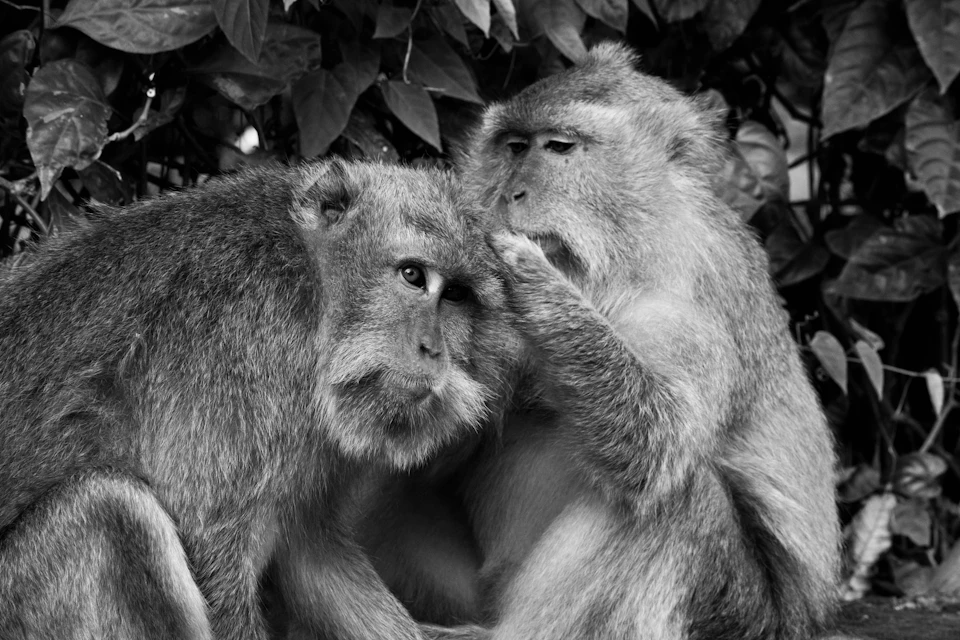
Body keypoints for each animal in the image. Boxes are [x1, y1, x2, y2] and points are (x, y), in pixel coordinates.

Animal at [0, 159, 516, 640]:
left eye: (456, 295)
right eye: (413, 275)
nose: (433, 349)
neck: (313, 288)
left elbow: (314, 560)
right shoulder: (245, 350)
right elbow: (211, 548)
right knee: (109, 510)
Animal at [433, 42, 841, 640]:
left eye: (559, 147)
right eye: (514, 146)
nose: (510, 193)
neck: (630, 251)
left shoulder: (687, 309)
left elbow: (655, 441)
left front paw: (531, 281)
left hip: (744, 614)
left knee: (676, 503)